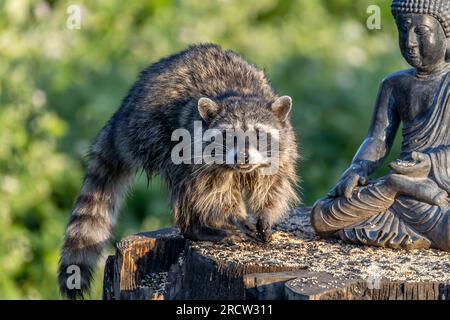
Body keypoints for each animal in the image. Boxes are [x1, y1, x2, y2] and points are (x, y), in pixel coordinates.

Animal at [59, 43, 298, 298]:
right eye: (227, 135)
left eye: (258, 134)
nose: (242, 157)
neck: (241, 94)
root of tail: (123, 114)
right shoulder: (197, 151)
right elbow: (214, 191)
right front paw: (238, 215)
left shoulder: (282, 152)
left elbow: (272, 186)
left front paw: (265, 213)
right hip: (153, 134)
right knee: (184, 182)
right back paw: (194, 227)